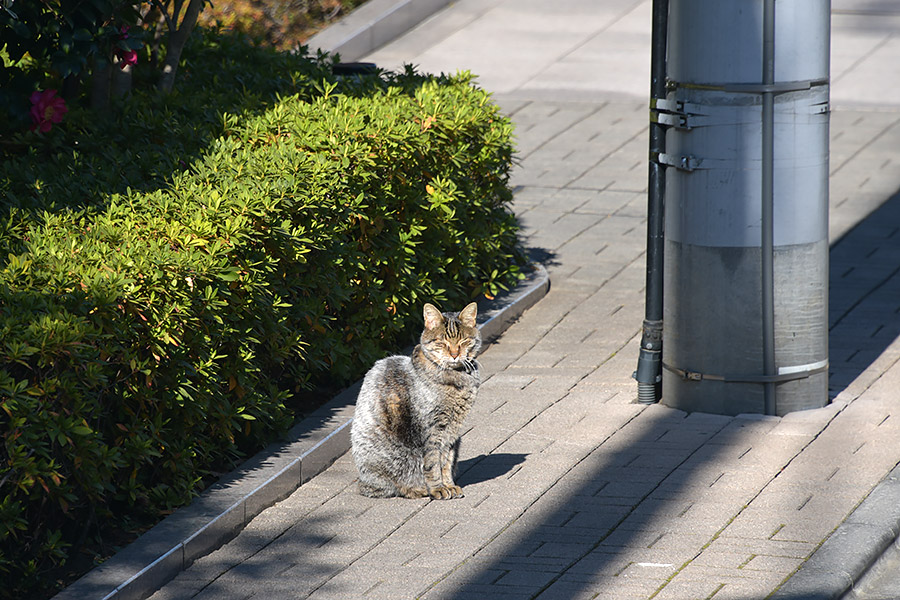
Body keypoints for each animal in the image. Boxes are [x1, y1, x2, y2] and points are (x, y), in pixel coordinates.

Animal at [350, 302, 482, 500]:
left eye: (464, 341)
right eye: (442, 342)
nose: (454, 354)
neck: (457, 380)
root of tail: (361, 481)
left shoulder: (452, 432)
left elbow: (447, 461)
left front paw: (449, 485)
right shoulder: (432, 429)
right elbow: (433, 462)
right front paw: (437, 488)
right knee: (389, 487)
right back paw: (416, 489)